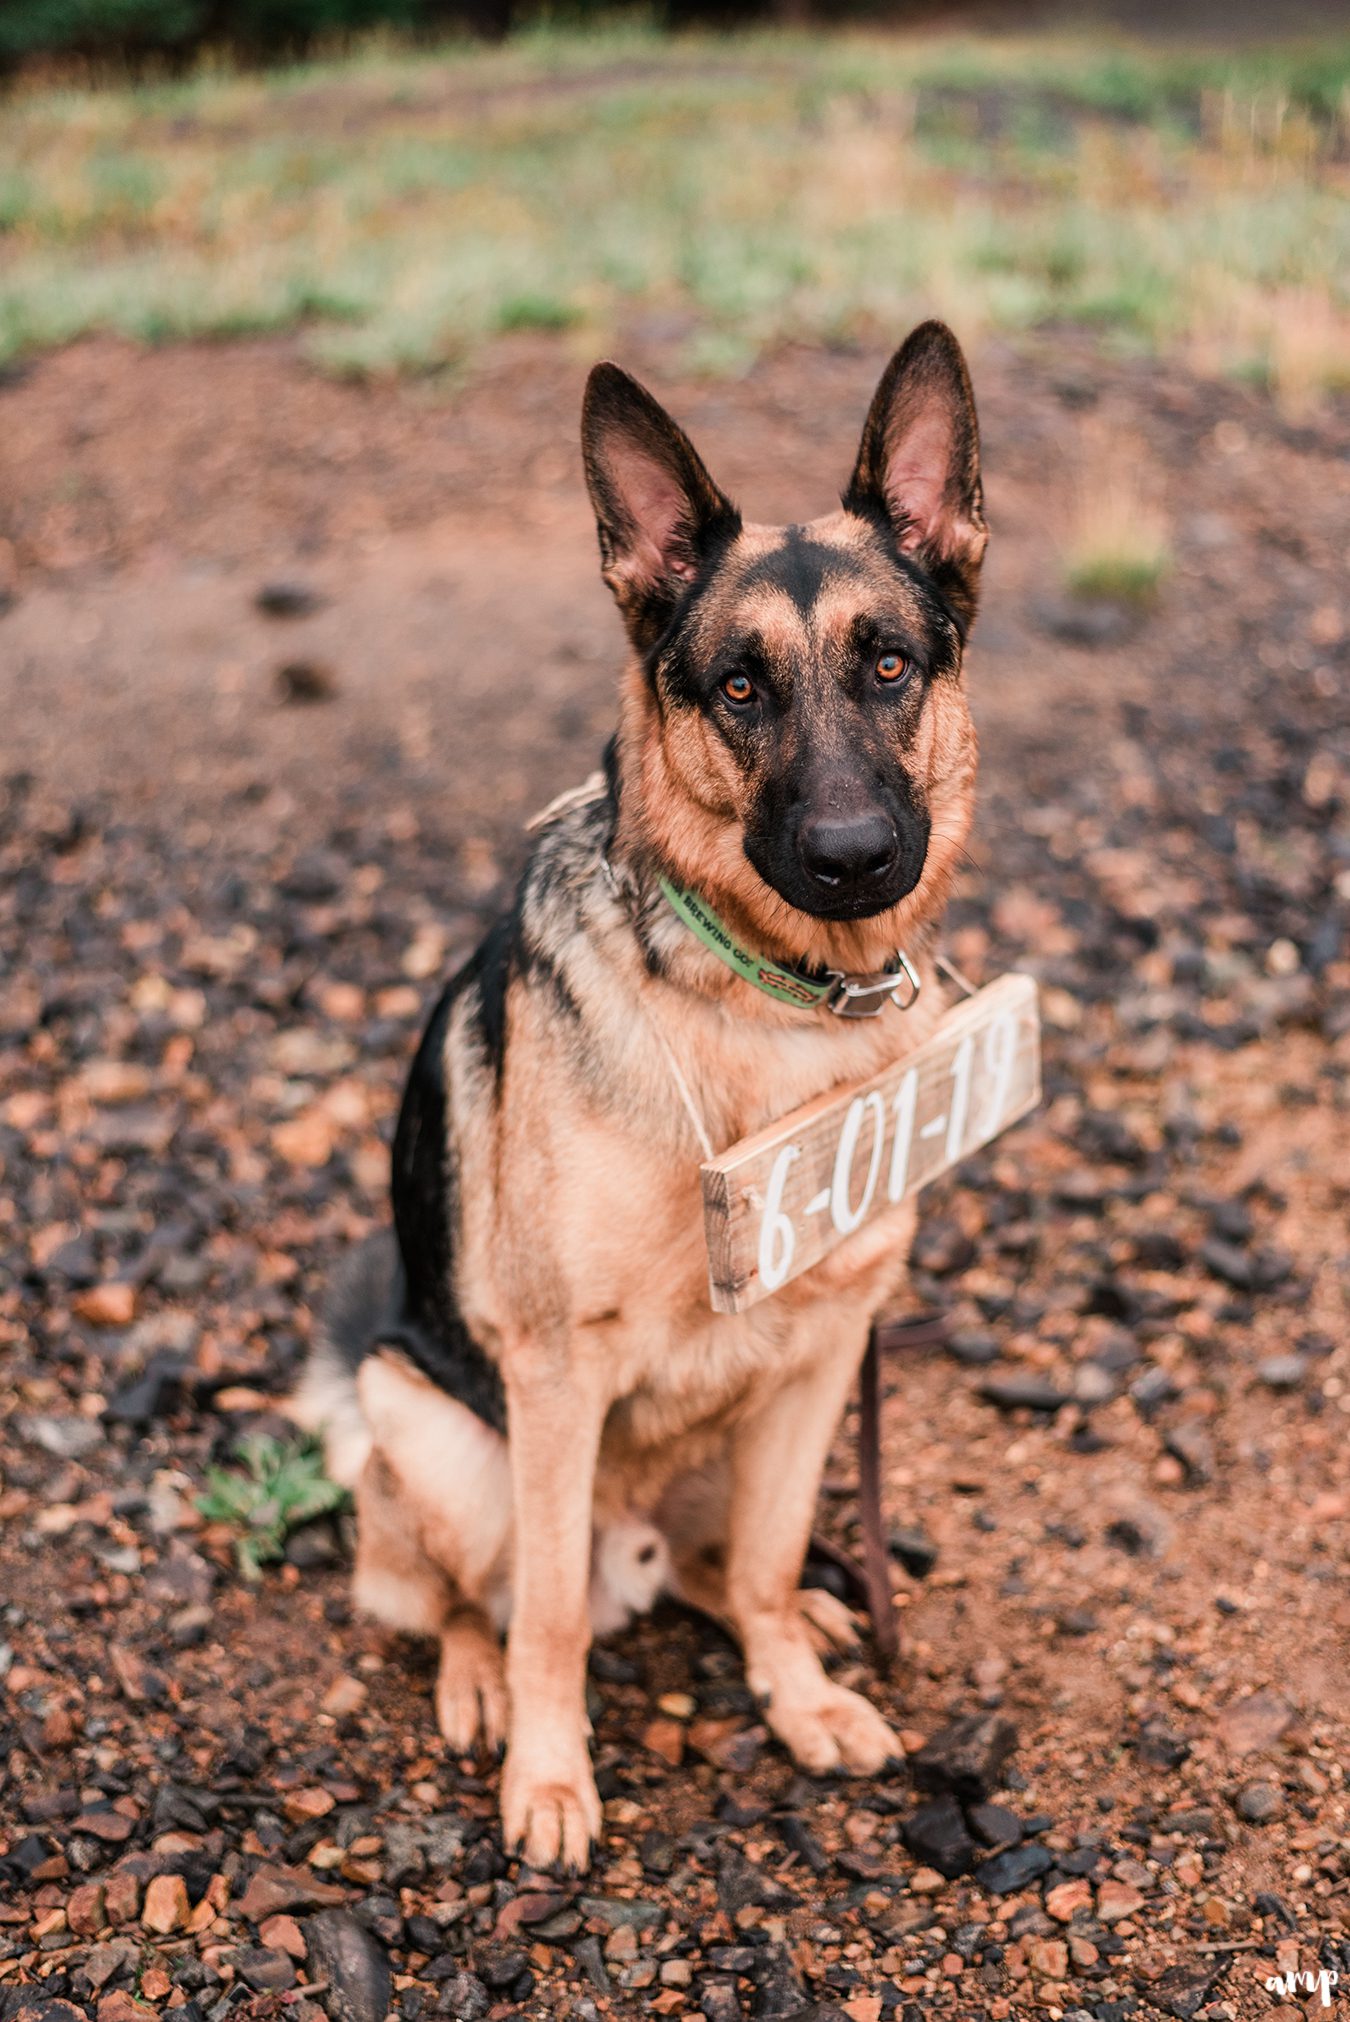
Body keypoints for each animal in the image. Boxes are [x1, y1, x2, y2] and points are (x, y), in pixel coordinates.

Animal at [295, 323, 986, 1868]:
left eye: (889, 664)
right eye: (736, 687)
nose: (855, 857)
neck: (772, 1005)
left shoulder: (825, 1346)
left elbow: (777, 1553)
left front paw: (797, 1698)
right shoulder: (559, 1377)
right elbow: (548, 1616)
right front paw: (551, 1781)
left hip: (734, 1440)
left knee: (727, 1567)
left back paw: (796, 1624)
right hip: (442, 1440)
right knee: (470, 1599)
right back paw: (482, 1689)